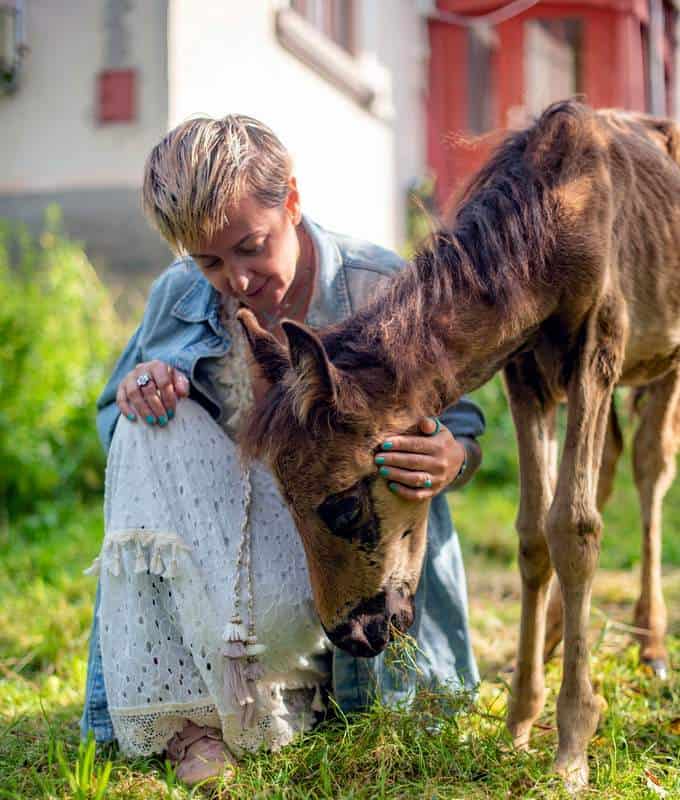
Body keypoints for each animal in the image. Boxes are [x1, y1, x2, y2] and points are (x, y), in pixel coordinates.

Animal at [238, 101, 680, 788]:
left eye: (343, 504)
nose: (351, 632)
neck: (550, 236)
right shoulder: (526, 371)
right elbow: (535, 531)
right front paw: (520, 721)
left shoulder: (599, 345)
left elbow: (575, 527)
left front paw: (572, 746)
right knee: (608, 466)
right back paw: (556, 639)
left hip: (660, 361)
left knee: (650, 466)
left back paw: (652, 645)